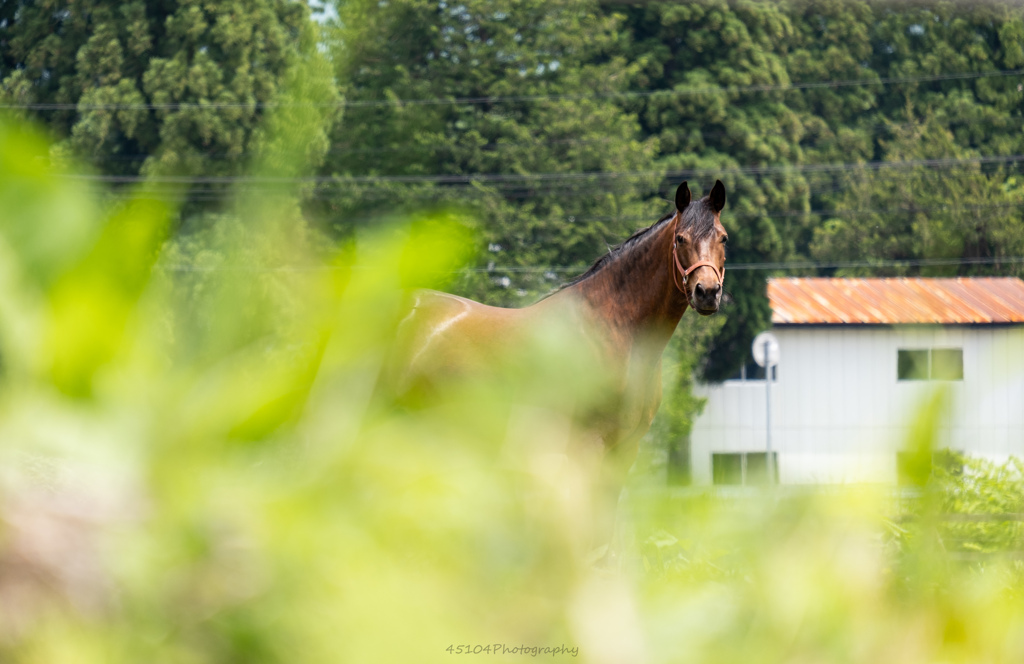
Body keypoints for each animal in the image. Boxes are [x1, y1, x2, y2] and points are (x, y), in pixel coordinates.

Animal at [385, 179, 729, 536]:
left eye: (723, 237)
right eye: (680, 239)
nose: (707, 292)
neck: (612, 325)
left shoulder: (625, 448)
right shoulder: (588, 445)